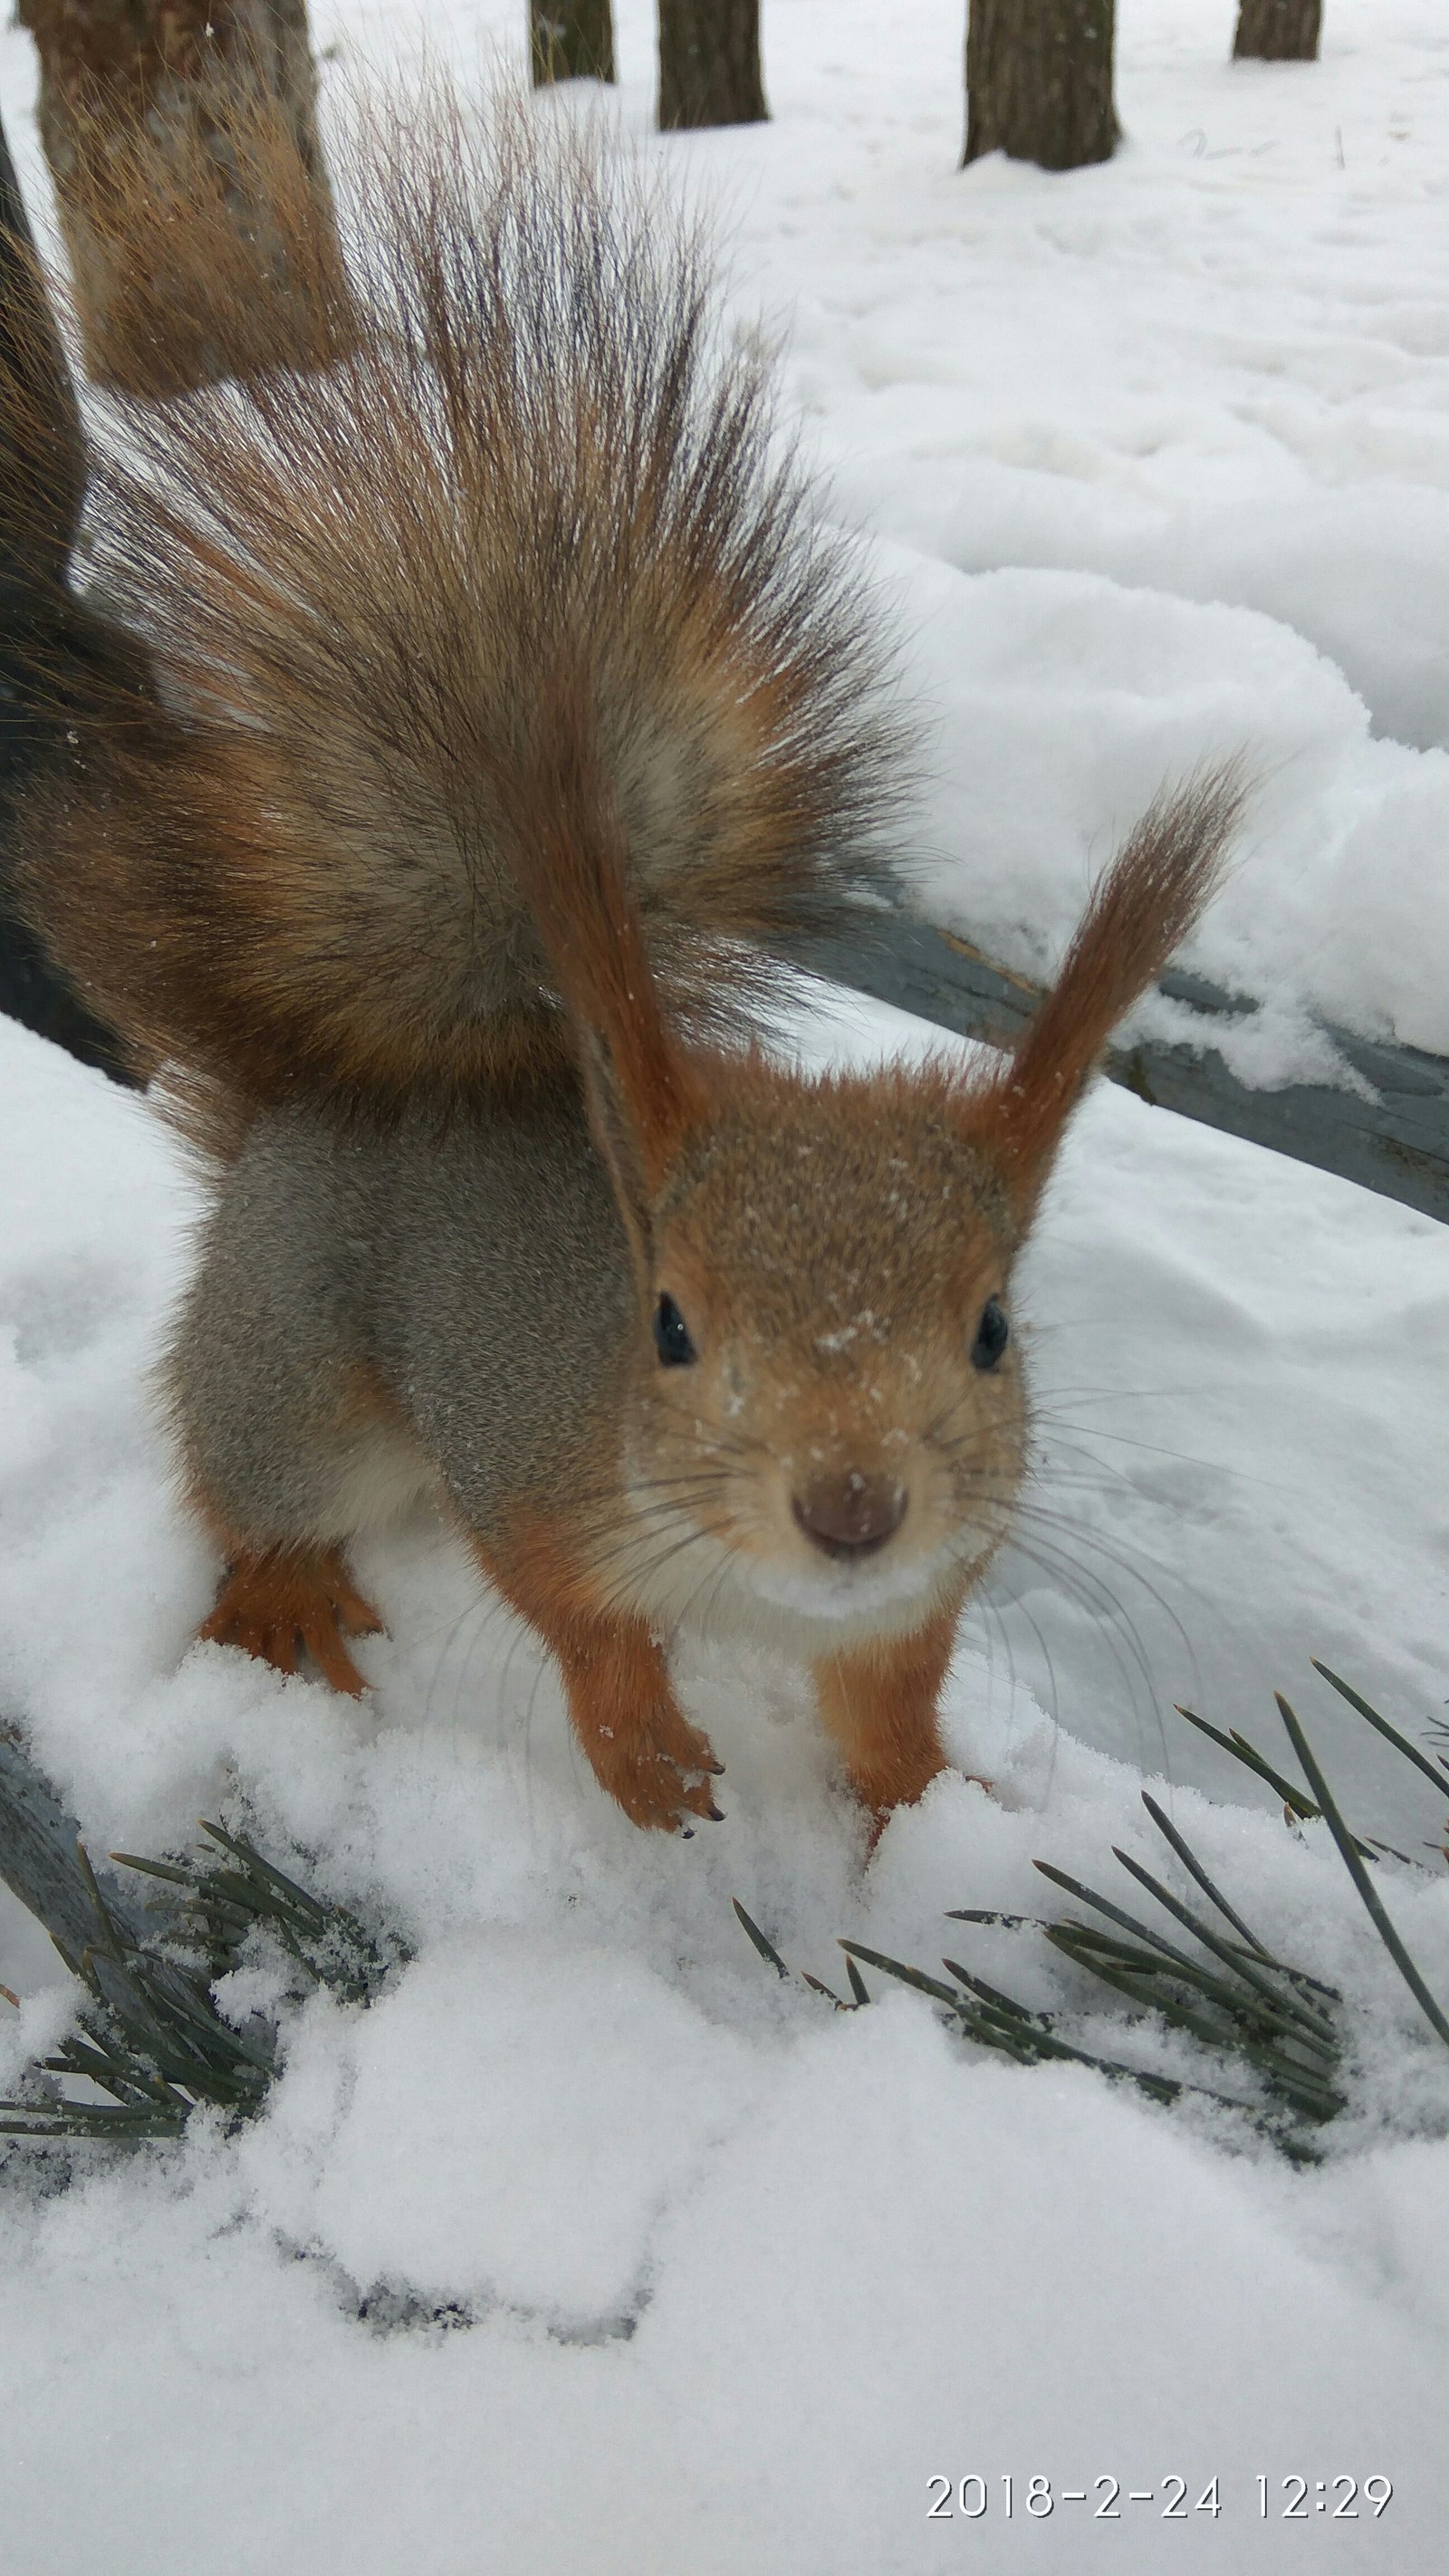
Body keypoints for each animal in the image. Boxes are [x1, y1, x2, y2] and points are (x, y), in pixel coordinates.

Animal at [0, 85, 1245, 1833]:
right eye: (668, 1325)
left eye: (996, 1327)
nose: (853, 1507)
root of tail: (313, 1113)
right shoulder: (534, 1466)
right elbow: (578, 1623)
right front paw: (644, 1747)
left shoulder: (920, 1592)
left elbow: (890, 1709)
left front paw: (932, 1811)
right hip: (289, 1369)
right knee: (239, 1478)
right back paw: (284, 1586)